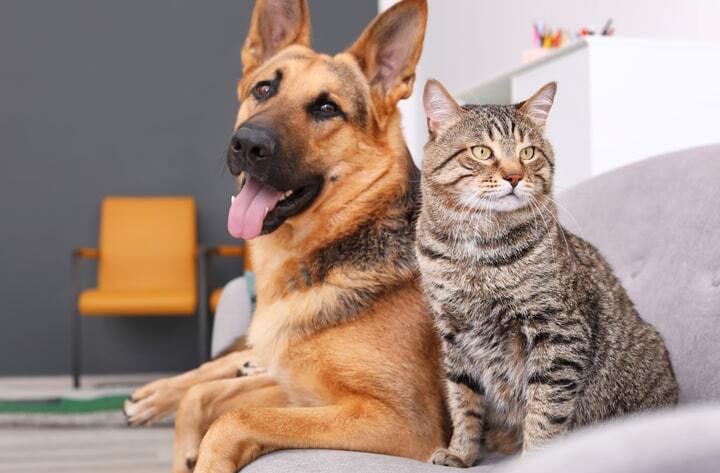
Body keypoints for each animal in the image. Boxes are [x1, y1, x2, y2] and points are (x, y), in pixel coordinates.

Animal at [124, 1, 450, 470]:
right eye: (263, 90)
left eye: (327, 108)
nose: (247, 144)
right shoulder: (298, 389)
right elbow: (204, 398)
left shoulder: (402, 422)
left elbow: (232, 419)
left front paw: (202, 453)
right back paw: (154, 395)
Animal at [414, 79, 676, 466]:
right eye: (481, 152)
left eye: (528, 153)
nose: (514, 176)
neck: (475, 251)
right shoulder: (454, 336)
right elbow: (463, 402)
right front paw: (461, 452)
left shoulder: (558, 332)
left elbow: (545, 411)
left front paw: (535, 458)